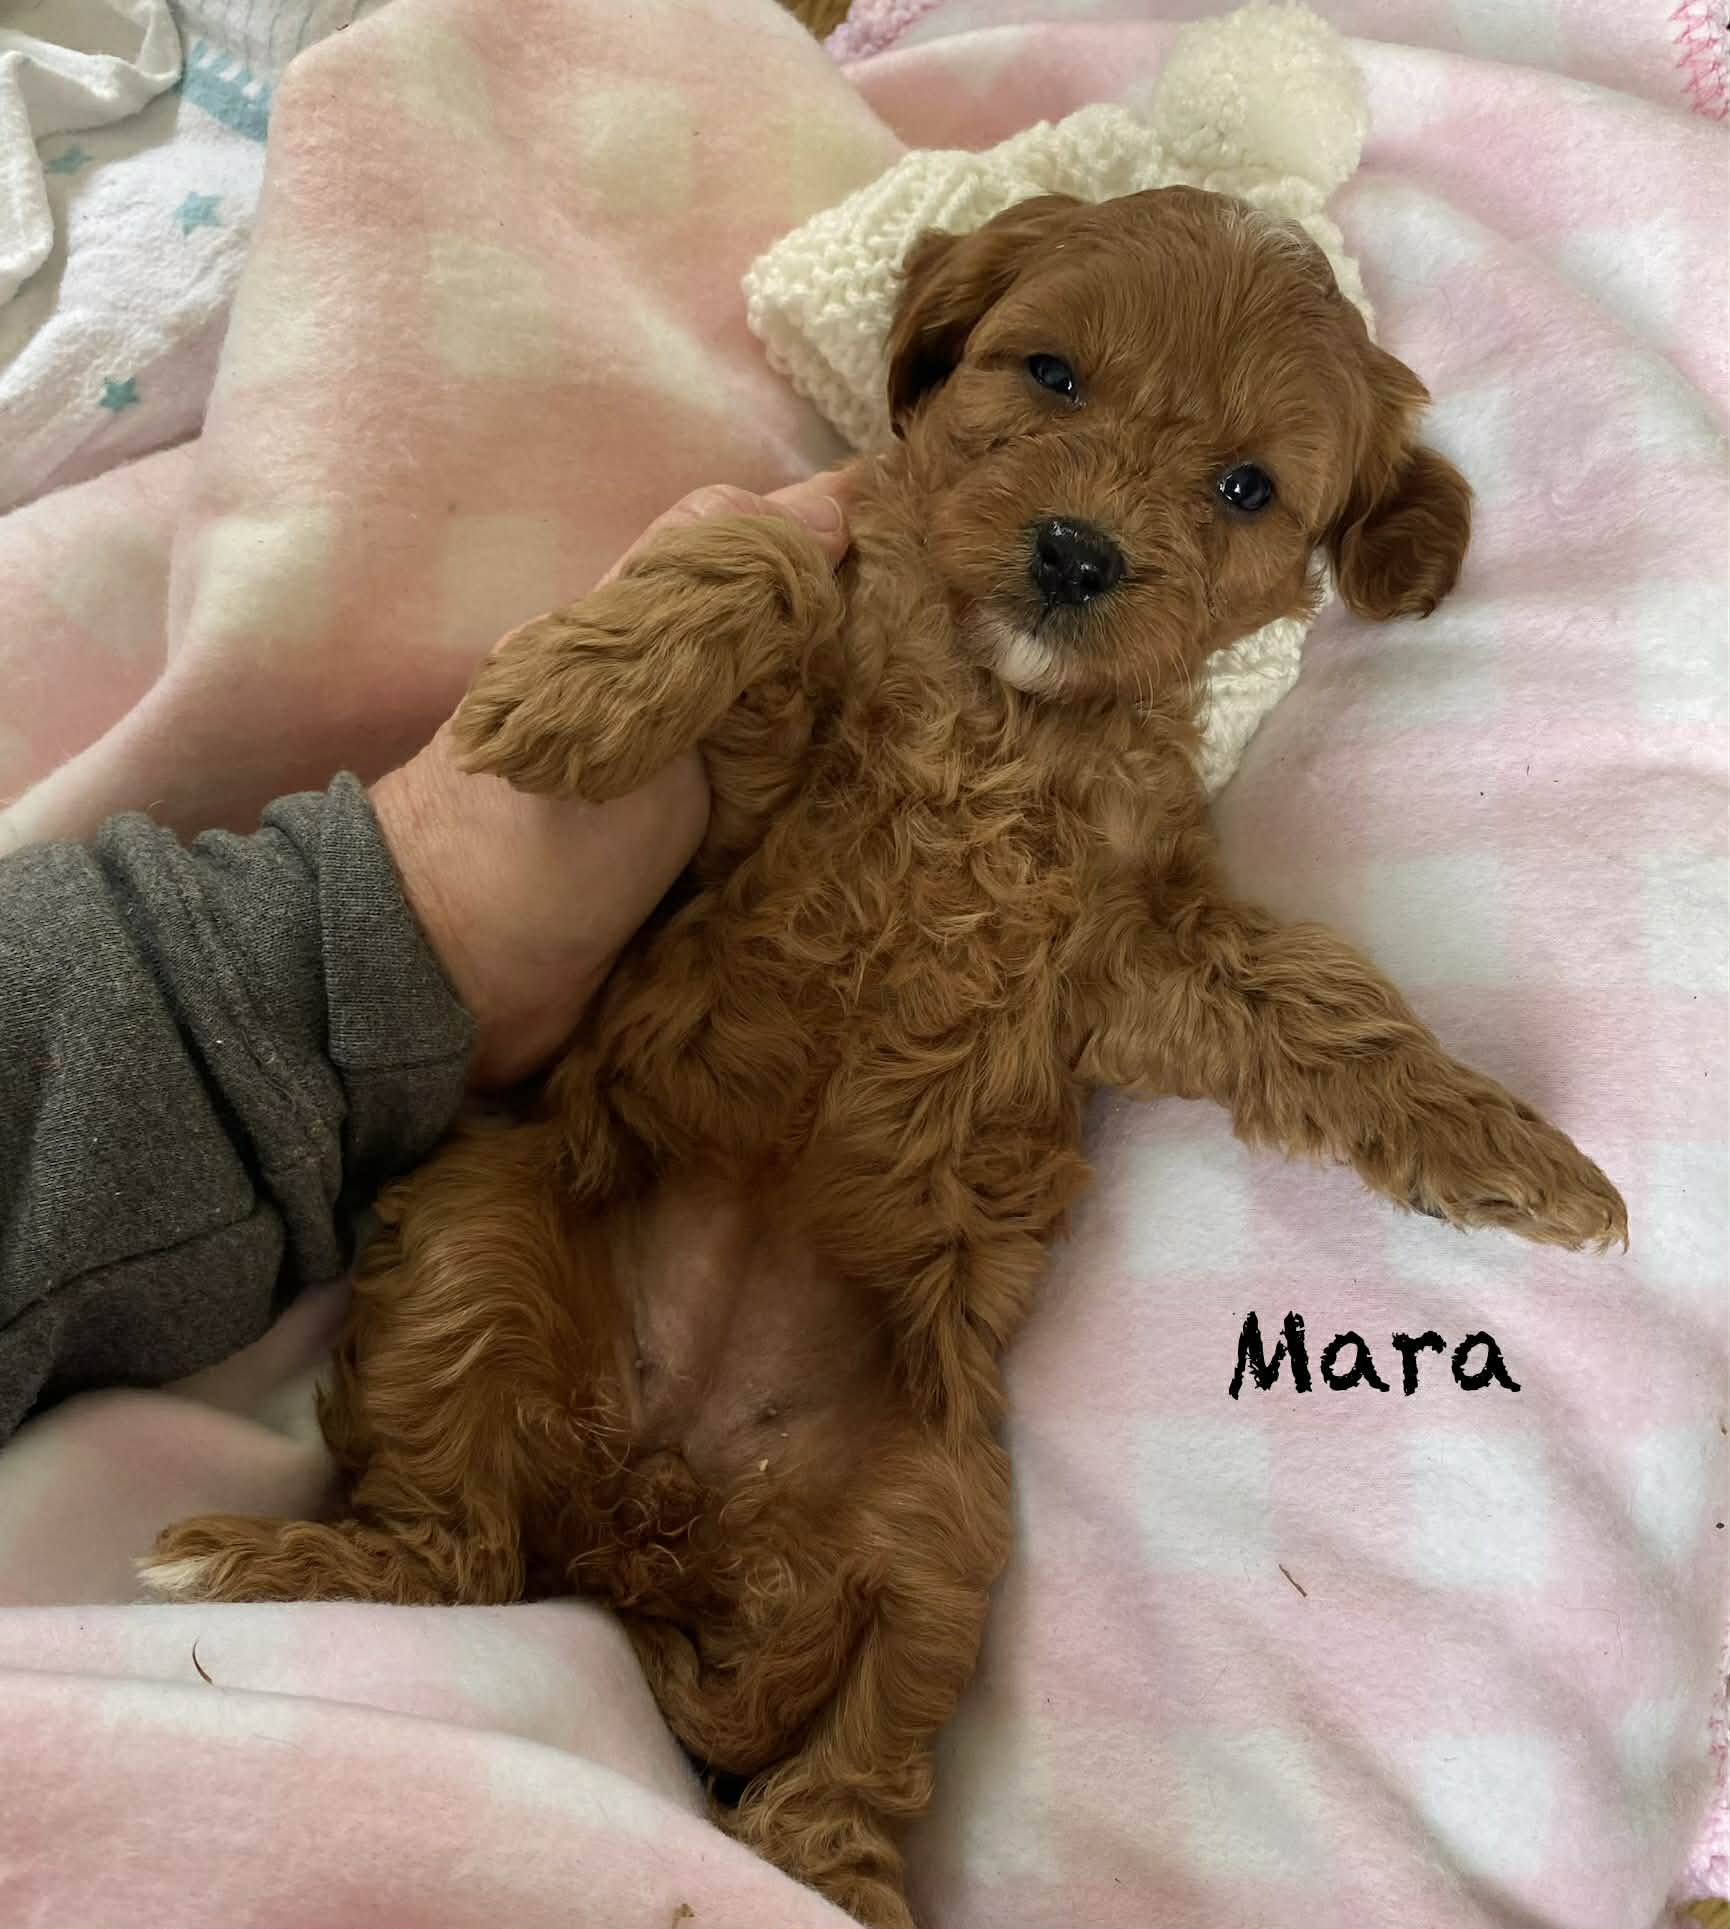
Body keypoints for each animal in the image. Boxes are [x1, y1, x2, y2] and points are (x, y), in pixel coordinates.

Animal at [143, 188, 1626, 1928]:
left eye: (1245, 487)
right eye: (1047, 373)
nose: (1074, 553)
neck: (1001, 719)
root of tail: (645, 1531)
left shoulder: (1132, 958)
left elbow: (1319, 1004)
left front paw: (1517, 1158)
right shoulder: (756, 787)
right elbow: (767, 561)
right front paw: (571, 687)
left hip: (940, 1511)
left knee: (854, 1739)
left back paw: (826, 1875)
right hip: (479, 1228)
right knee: (451, 1554)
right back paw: (270, 1568)